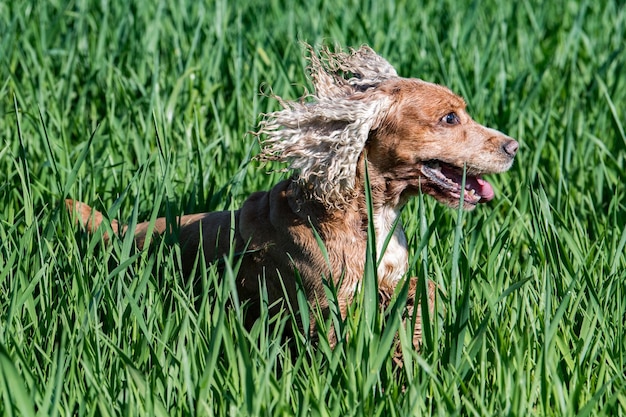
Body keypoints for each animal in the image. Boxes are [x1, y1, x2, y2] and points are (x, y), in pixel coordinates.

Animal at [68, 44, 516, 352]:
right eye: (449, 118)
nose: (513, 147)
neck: (368, 216)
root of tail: (116, 228)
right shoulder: (328, 305)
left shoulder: (394, 278)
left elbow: (426, 291)